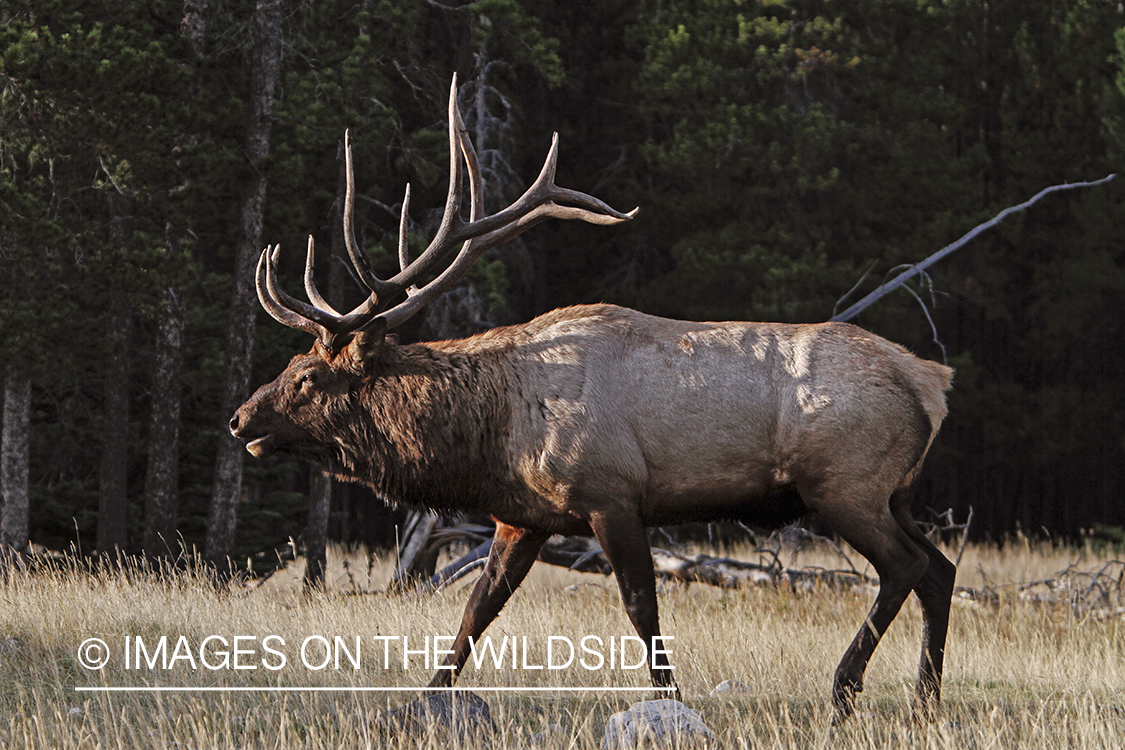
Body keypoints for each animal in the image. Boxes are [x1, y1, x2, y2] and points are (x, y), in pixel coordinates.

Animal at [232, 76, 954, 719]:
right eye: (291, 365)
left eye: (308, 377)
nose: (240, 419)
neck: (493, 434)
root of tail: (931, 382)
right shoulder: (522, 516)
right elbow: (476, 609)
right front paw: (425, 696)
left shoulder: (611, 494)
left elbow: (640, 604)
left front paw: (673, 700)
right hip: (894, 492)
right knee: (939, 569)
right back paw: (924, 700)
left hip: (844, 483)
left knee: (904, 567)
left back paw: (844, 689)